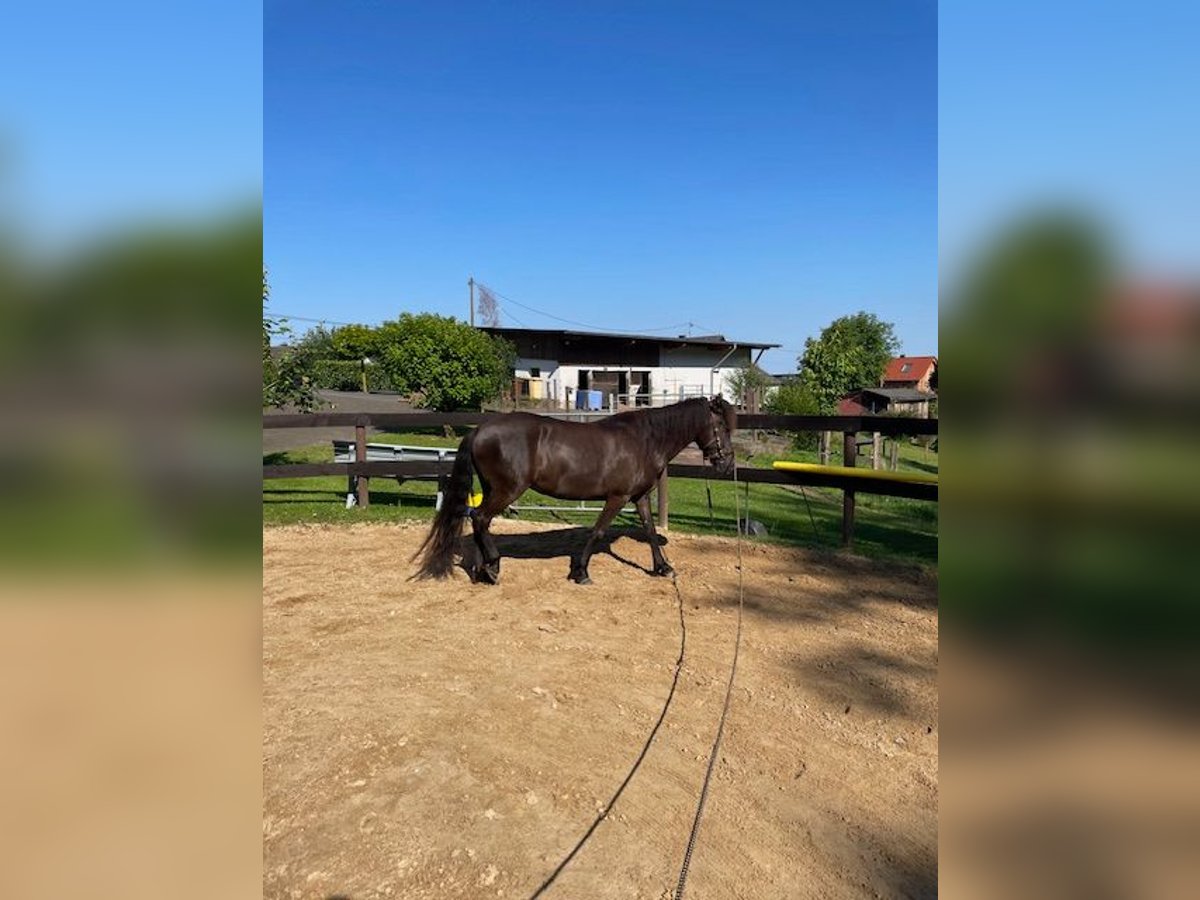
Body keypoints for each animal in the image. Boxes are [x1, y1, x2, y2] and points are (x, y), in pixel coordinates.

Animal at [412, 396, 734, 585]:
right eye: (722, 427)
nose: (727, 463)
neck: (644, 440)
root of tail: (480, 430)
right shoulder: (617, 497)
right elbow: (598, 531)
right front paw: (581, 572)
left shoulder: (638, 497)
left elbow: (650, 530)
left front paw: (663, 567)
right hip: (507, 490)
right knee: (480, 517)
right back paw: (491, 567)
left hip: (493, 488)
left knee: (480, 520)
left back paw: (483, 569)